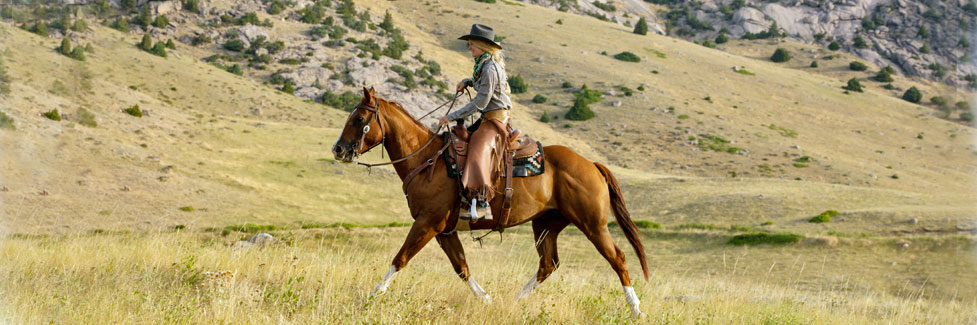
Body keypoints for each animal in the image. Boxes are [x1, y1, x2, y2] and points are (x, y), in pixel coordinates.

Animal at [330, 87, 648, 316]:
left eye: (359, 119)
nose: (339, 149)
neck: (426, 159)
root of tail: (592, 164)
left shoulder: (427, 224)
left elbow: (400, 259)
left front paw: (372, 297)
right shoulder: (444, 230)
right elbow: (462, 267)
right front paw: (487, 300)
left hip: (593, 225)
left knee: (618, 258)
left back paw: (636, 309)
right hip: (546, 225)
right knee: (548, 264)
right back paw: (514, 301)